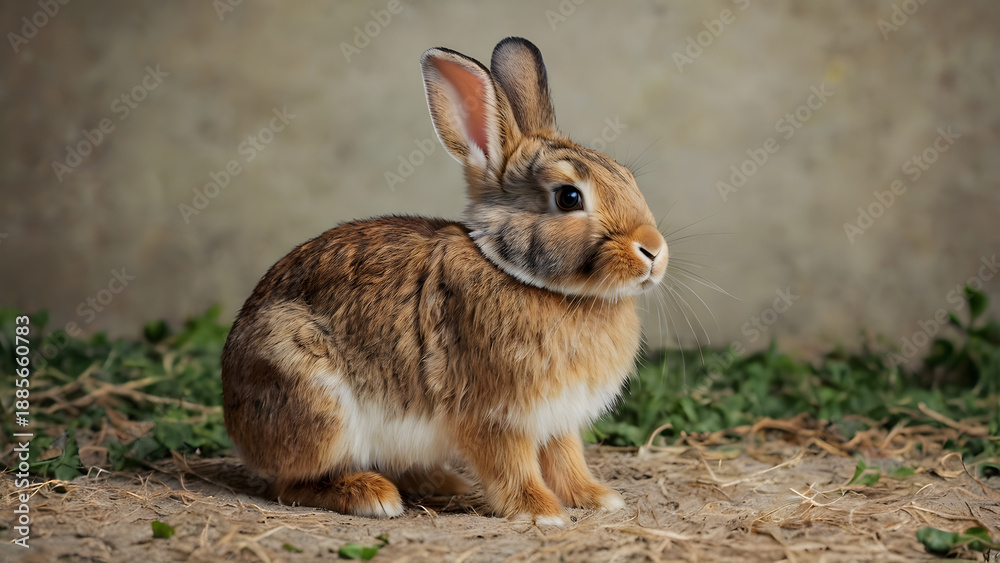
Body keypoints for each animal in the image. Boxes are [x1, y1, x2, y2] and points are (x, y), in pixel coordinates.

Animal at [221, 36, 667, 526]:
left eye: (626, 176)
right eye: (569, 198)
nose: (654, 251)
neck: (523, 278)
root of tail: (236, 421)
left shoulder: (557, 419)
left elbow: (567, 459)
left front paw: (597, 497)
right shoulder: (496, 416)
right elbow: (513, 466)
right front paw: (541, 512)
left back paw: (443, 484)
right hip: (317, 404)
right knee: (289, 483)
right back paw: (372, 495)